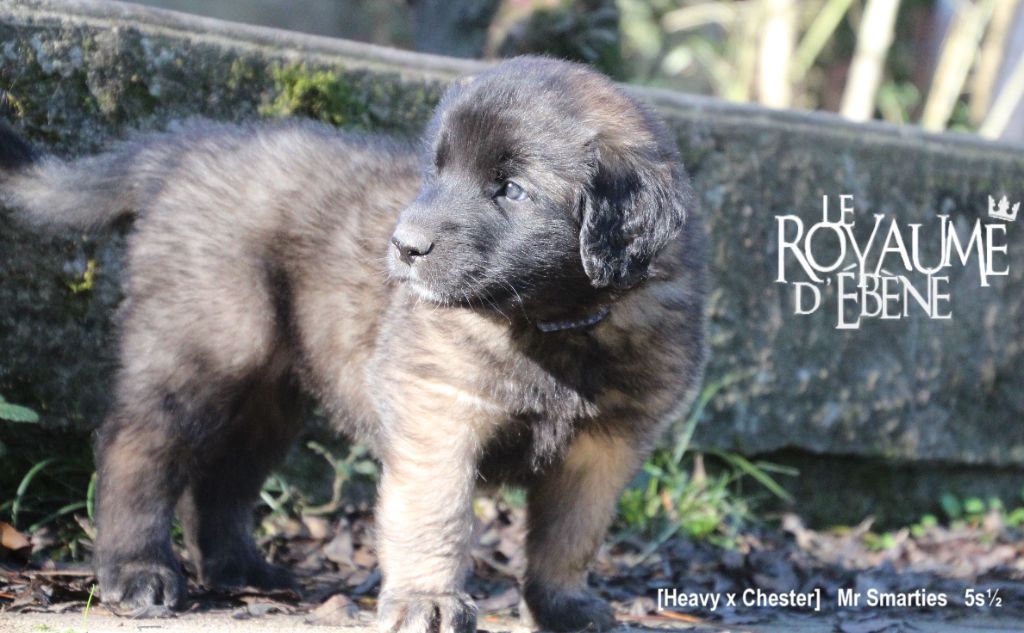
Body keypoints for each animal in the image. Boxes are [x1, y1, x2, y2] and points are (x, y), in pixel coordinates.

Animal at [0, 56, 706, 633]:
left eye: (512, 189)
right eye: (436, 170)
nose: (404, 245)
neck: (553, 325)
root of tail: (189, 147)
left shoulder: (603, 446)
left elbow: (570, 537)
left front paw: (564, 605)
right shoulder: (438, 412)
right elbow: (435, 516)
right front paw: (428, 601)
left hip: (271, 394)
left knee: (223, 480)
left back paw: (242, 569)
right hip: (204, 342)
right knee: (138, 445)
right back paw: (137, 570)